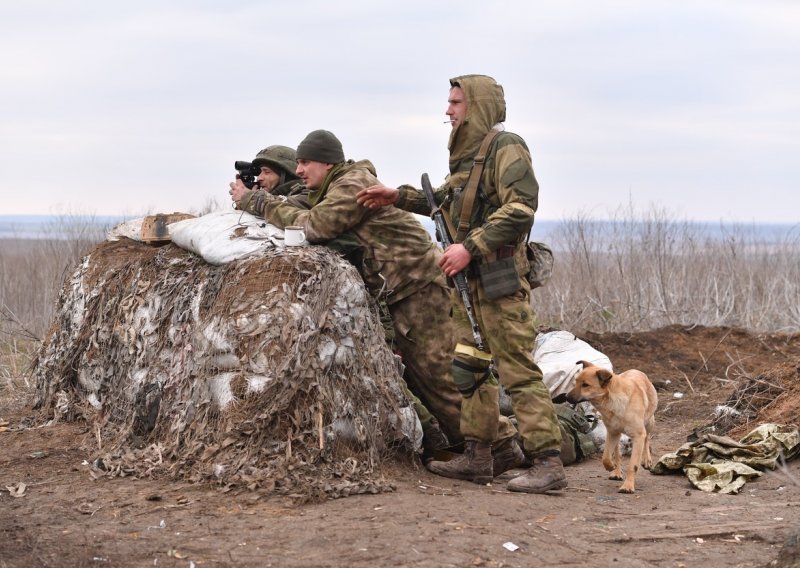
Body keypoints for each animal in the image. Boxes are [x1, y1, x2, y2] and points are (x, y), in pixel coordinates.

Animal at [564, 364, 656, 492]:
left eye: (585, 385)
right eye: (576, 381)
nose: (566, 397)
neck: (613, 401)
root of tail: (635, 370)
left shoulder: (638, 435)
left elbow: (633, 465)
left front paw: (628, 486)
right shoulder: (612, 433)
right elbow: (606, 457)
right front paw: (611, 466)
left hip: (649, 422)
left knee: (647, 437)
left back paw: (646, 460)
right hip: (617, 434)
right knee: (617, 453)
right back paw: (616, 471)